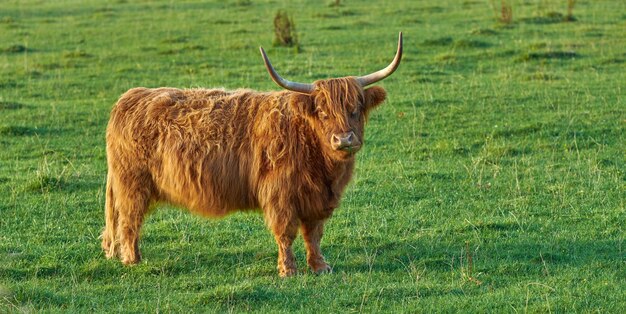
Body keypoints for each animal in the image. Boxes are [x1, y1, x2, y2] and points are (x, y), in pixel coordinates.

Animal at [97, 32, 400, 278]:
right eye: (323, 113)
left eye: (355, 109)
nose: (344, 139)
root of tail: (130, 97)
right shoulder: (280, 195)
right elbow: (286, 233)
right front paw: (288, 270)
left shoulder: (317, 199)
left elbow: (313, 234)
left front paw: (320, 266)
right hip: (132, 185)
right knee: (129, 221)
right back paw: (132, 260)